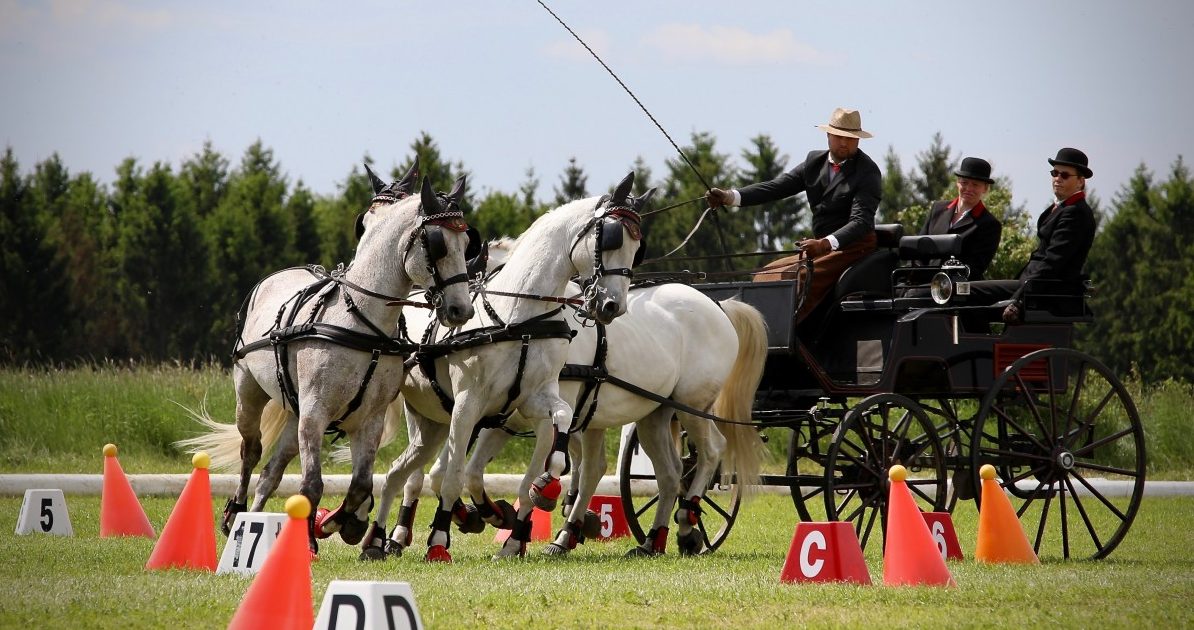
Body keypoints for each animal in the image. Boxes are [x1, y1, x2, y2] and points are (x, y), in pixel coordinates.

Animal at [176, 165, 475, 551]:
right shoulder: (316, 412)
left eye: (467, 243)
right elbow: (312, 485)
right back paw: (235, 515)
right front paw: (310, 538)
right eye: (436, 244)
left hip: (294, 412)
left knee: (271, 471)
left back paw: (255, 519)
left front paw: (345, 523)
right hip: (250, 394)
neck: (361, 320)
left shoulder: (369, 418)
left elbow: (361, 484)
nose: (460, 309)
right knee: (251, 451)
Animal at [367, 170, 649, 560]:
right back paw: (381, 537)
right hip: (427, 418)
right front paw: (439, 541)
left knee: (400, 472)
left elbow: (551, 443)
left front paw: (536, 499)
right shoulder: (469, 406)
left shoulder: (534, 400)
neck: (520, 318)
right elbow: (453, 476)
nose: (612, 306)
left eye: (637, 248)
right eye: (609, 238)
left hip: (434, 425)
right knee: (409, 473)